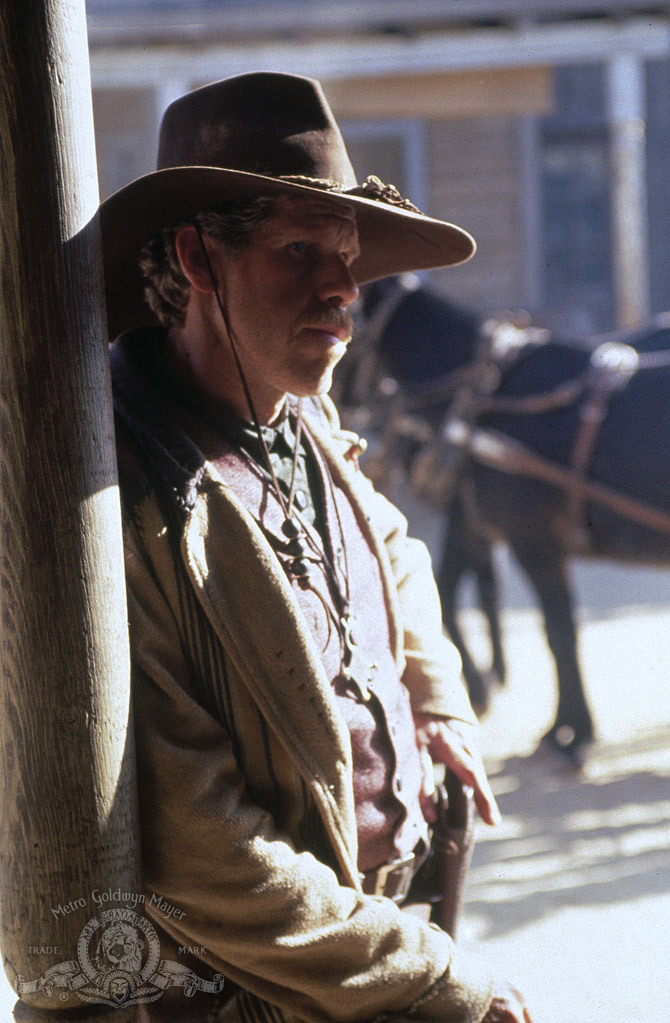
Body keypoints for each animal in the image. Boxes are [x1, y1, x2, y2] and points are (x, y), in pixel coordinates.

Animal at [337, 276, 670, 765]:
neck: (485, 397)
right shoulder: (477, 522)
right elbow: (462, 591)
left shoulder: (531, 540)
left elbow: (558, 632)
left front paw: (570, 731)